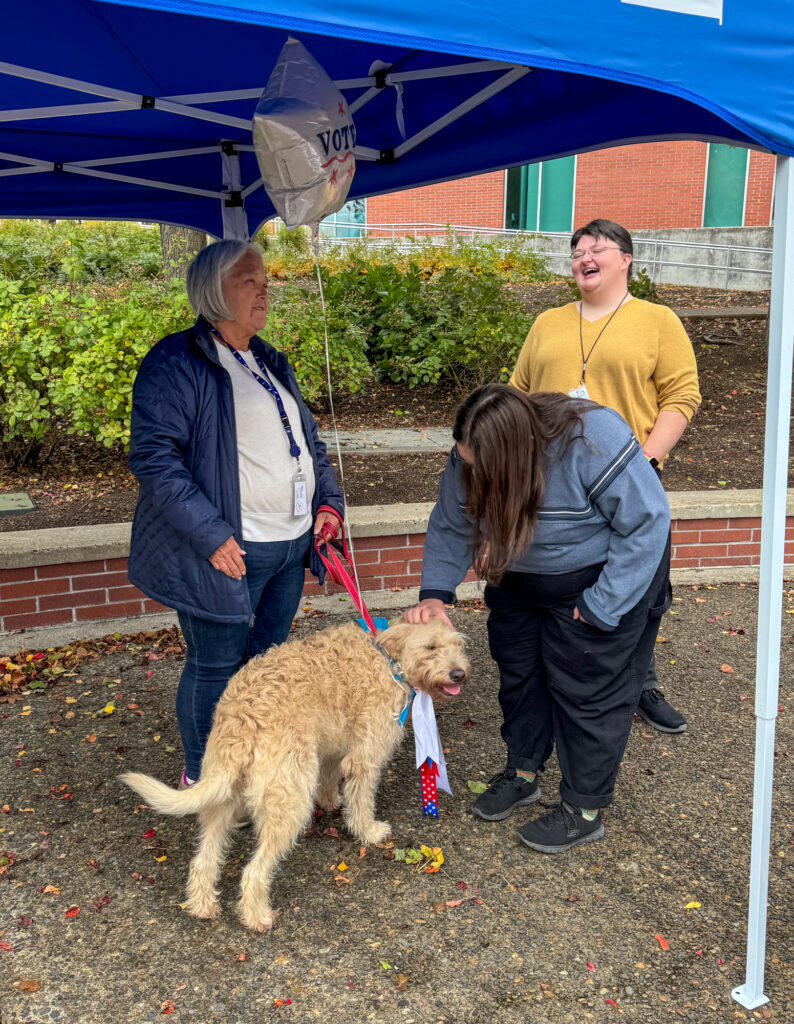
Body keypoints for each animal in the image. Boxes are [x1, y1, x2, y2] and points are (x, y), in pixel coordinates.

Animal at [120, 618, 469, 933]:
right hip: (289, 801)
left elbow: (329, 777)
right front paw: (367, 831)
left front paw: (330, 801)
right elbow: (361, 800)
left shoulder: (332, 747)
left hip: (222, 797)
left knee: (204, 860)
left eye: (457, 646)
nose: (459, 674)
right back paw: (257, 917)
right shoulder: (365, 757)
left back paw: (203, 905)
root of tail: (242, 717)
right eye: (431, 647)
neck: (389, 660)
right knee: (253, 872)